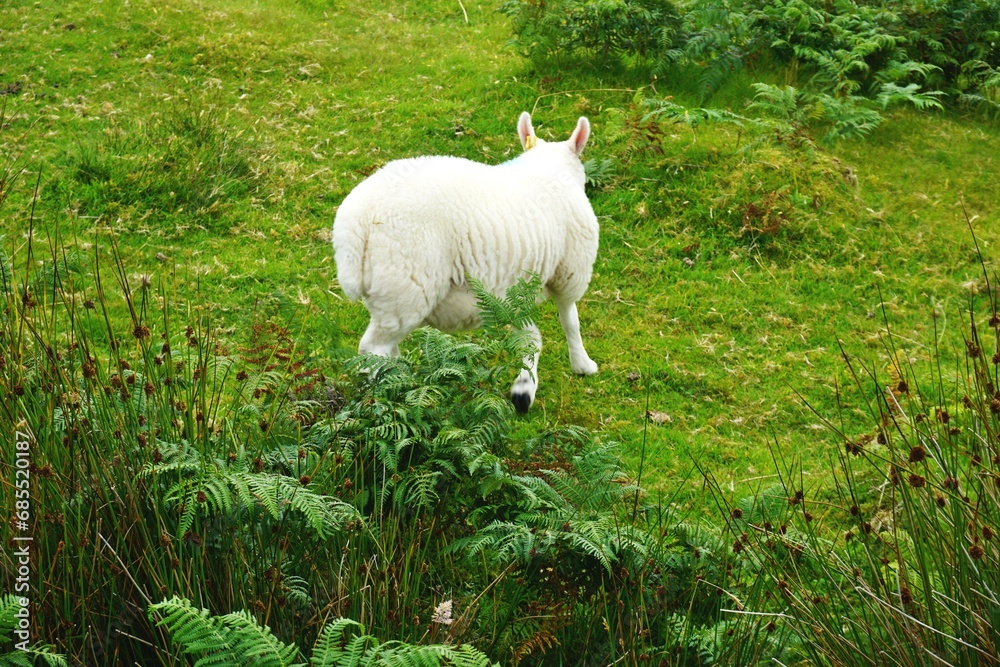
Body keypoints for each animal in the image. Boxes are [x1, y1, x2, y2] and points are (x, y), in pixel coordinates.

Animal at [332, 112, 600, 413]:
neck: (547, 168)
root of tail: (355, 222)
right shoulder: (569, 271)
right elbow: (570, 320)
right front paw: (582, 365)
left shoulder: (512, 290)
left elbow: (530, 337)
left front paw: (523, 389)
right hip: (406, 288)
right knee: (372, 351)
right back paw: (383, 397)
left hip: (389, 295)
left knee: (385, 349)